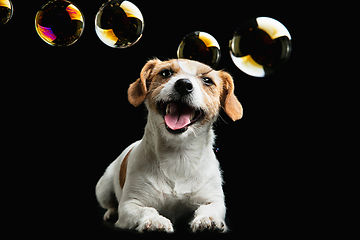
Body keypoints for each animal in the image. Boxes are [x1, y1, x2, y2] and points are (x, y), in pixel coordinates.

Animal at [95, 58, 242, 232]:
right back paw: (111, 213)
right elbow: (147, 210)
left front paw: (207, 219)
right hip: (103, 189)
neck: (178, 154)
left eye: (207, 80)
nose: (184, 84)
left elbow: (207, 208)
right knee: (111, 204)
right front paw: (154, 220)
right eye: (165, 73)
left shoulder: (214, 200)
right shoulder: (130, 205)